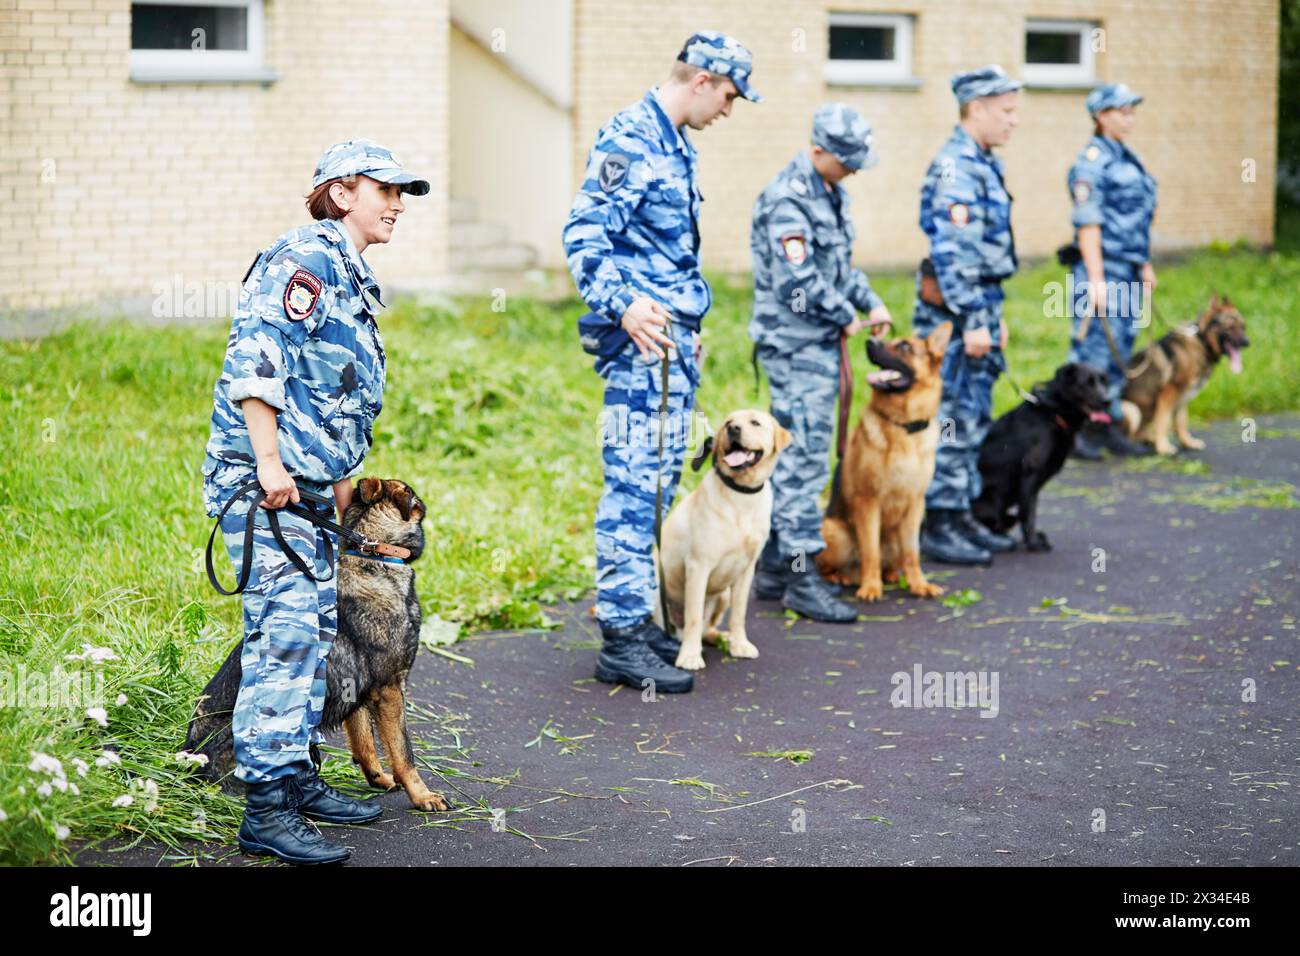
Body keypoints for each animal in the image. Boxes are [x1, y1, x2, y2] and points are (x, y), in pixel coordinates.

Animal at [180, 481, 449, 811]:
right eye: (409, 492)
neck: (375, 556)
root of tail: (190, 761)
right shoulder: (388, 690)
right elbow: (403, 752)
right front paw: (422, 795)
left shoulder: (356, 692)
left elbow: (364, 742)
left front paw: (378, 778)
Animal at [650, 411, 790, 671]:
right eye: (728, 423)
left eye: (755, 422)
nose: (733, 429)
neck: (741, 495)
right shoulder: (698, 566)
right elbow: (693, 617)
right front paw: (690, 656)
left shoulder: (747, 570)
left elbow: (739, 613)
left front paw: (739, 644)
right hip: (657, 592)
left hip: (723, 594)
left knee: (707, 629)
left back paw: (723, 638)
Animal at [811, 325, 956, 600]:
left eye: (905, 346)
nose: (870, 342)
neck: (903, 427)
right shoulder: (868, 502)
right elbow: (870, 551)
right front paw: (871, 587)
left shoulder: (915, 504)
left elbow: (913, 553)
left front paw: (919, 584)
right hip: (836, 534)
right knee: (824, 565)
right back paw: (840, 577)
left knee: (896, 559)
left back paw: (890, 575)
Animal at [977, 361, 1112, 554]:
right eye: (1086, 383)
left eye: (1103, 382)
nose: (1108, 400)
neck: (1053, 412)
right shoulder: (1030, 474)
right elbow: (1028, 514)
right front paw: (1033, 543)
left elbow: (1028, 513)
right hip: (993, 499)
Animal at [1118, 291, 1248, 455]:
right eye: (1230, 327)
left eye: (1243, 327)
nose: (1247, 342)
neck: (1201, 341)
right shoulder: (1168, 392)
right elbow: (1163, 421)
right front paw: (1163, 447)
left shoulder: (1182, 396)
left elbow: (1181, 421)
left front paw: (1187, 442)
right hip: (1132, 410)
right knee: (1129, 435)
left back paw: (1149, 439)